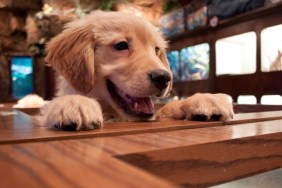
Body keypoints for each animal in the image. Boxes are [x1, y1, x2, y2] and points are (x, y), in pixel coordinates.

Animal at [41, 10, 231, 131]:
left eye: (156, 50)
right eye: (121, 45)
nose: (164, 78)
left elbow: (165, 108)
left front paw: (203, 99)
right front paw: (73, 102)